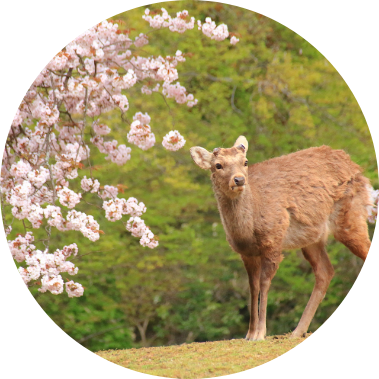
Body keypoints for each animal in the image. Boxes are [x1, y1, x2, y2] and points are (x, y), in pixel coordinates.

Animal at [189, 137, 372, 342]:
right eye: (218, 165)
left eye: (245, 162)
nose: (239, 179)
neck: (247, 231)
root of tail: (354, 166)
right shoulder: (246, 254)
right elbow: (252, 287)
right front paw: (249, 334)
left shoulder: (273, 241)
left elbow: (264, 283)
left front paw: (260, 333)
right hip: (311, 238)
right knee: (325, 271)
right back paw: (297, 331)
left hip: (351, 216)